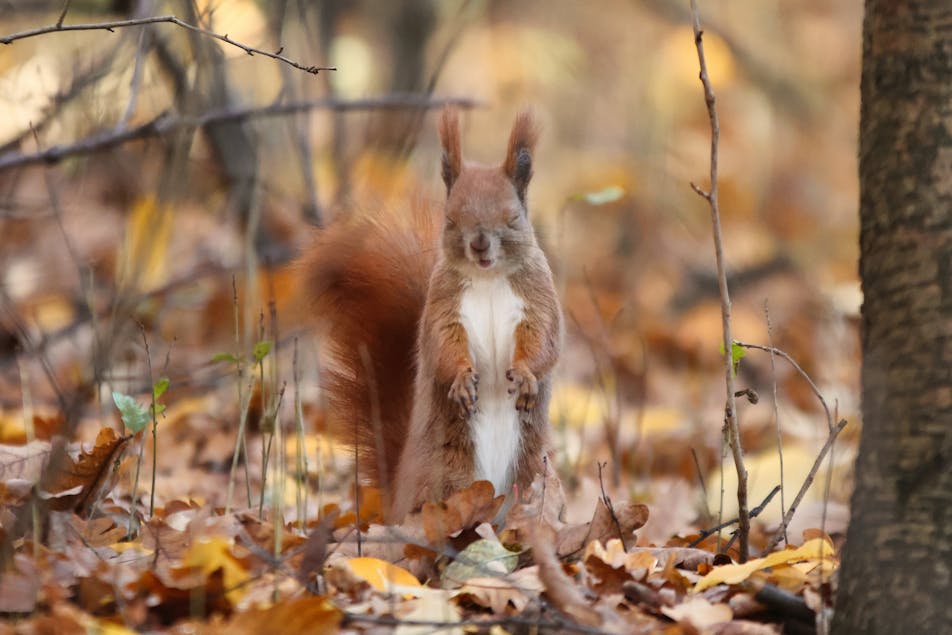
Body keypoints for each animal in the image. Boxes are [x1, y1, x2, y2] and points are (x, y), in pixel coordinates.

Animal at [301, 109, 563, 522]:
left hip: (537, 469)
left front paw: (524, 375)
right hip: (444, 475)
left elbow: (544, 340)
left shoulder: (540, 299)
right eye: (451, 218)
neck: (487, 277)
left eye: (512, 218)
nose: (479, 243)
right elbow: (443, 344)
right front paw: (460, 379)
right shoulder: (442, 307)